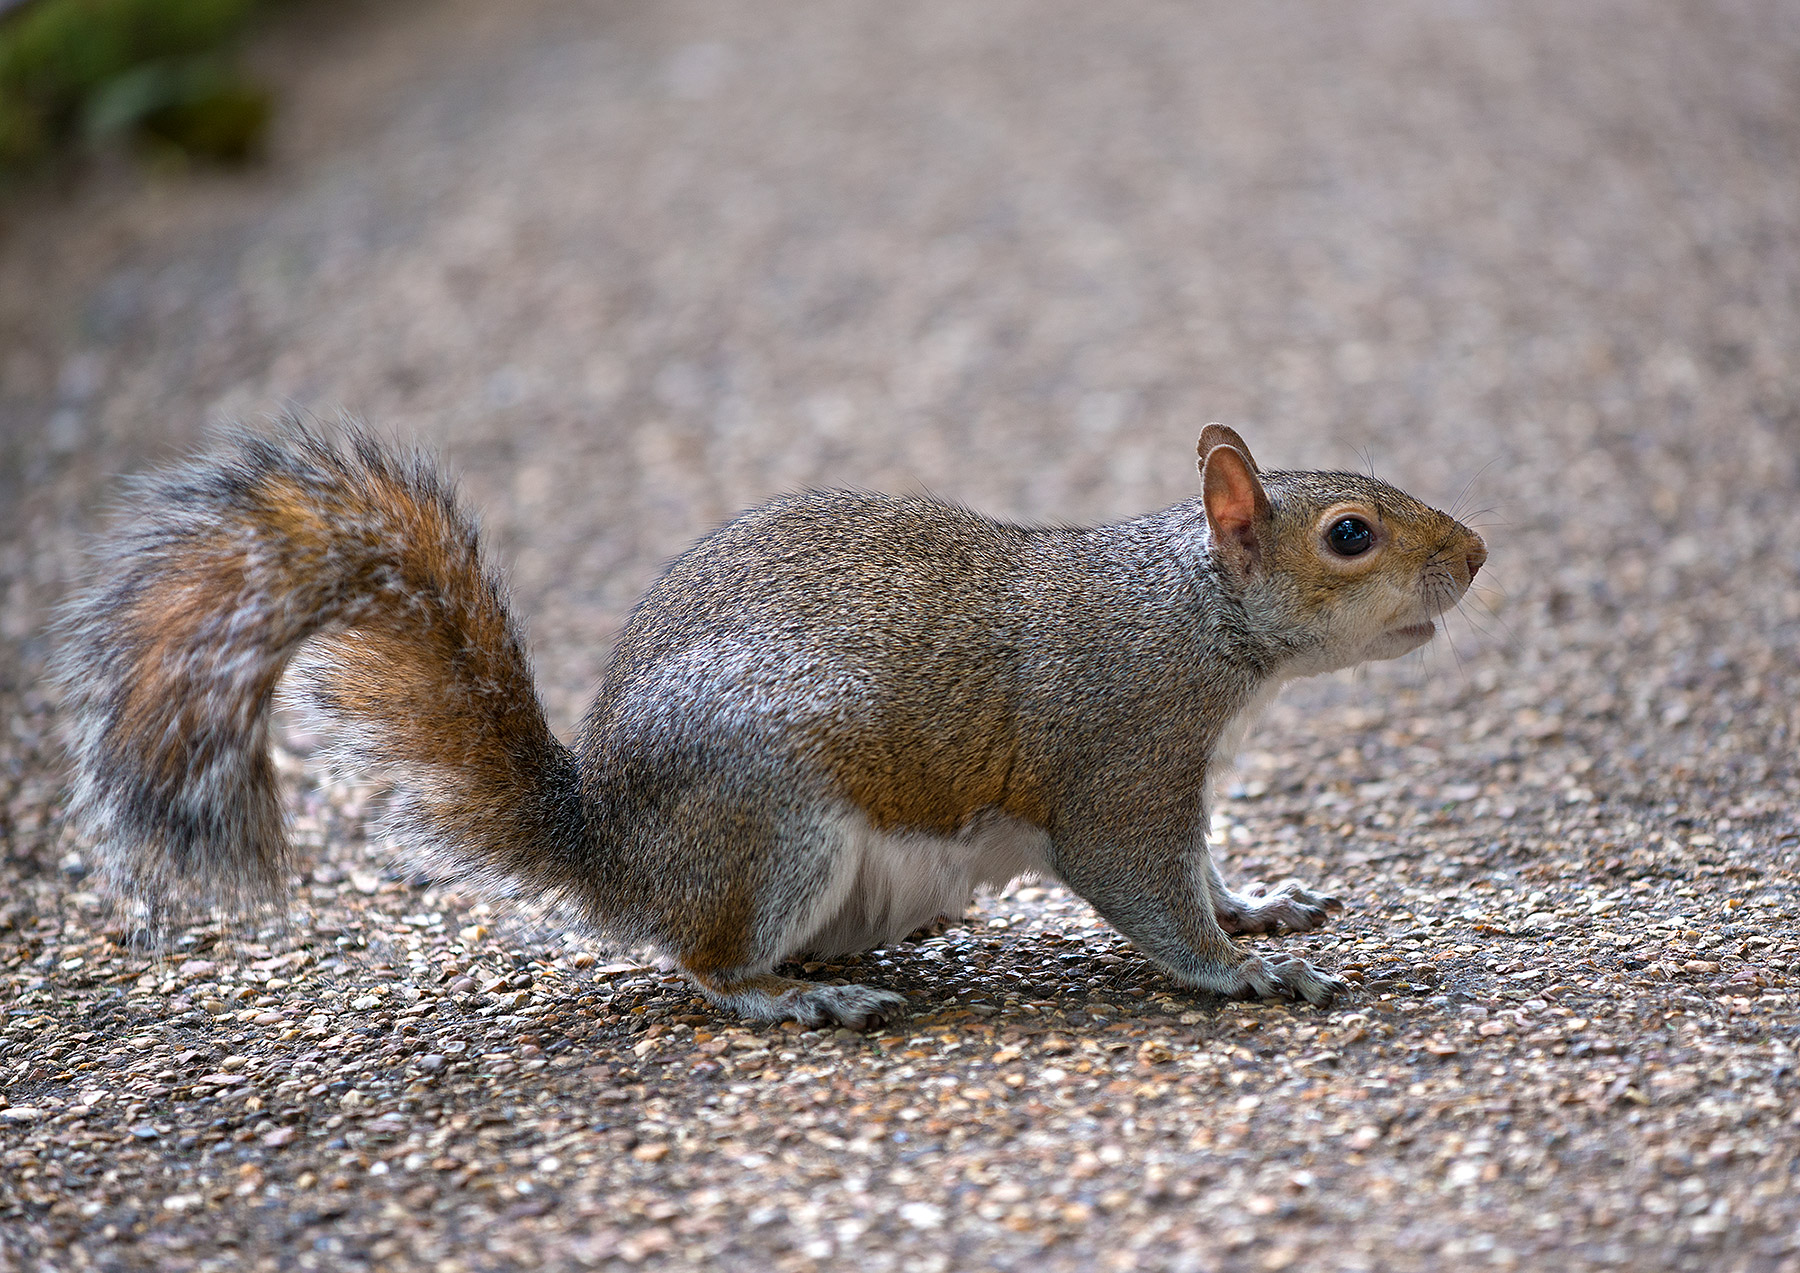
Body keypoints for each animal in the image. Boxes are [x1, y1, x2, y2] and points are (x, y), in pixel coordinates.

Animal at [56, 419, 1485, 1028]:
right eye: (1349, 535)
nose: (1476, 555)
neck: (1198, 619)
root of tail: (611, 845)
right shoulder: (1118, 763)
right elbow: (1149, 889)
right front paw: (1246, 972)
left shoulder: (1183, 784)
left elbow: (1206, 867)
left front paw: (1264, 908)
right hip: (776, 823)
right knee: (704, 962)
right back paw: (798, 997)